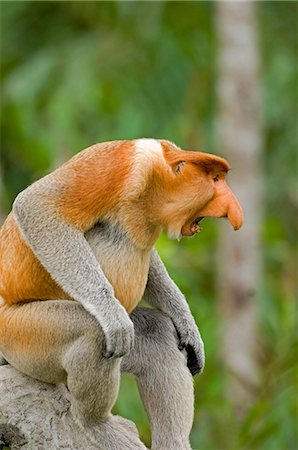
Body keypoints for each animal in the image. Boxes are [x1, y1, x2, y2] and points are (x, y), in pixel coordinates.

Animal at [0, 139, 242, 448]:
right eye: (215, 179)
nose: (234, 211)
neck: (155, 176)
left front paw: (188, 326)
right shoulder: (115, 166)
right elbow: (36, 205)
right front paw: (112, 316)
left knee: (157, 333)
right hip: (20, 334)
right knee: (92, 332)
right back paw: (97, 424)